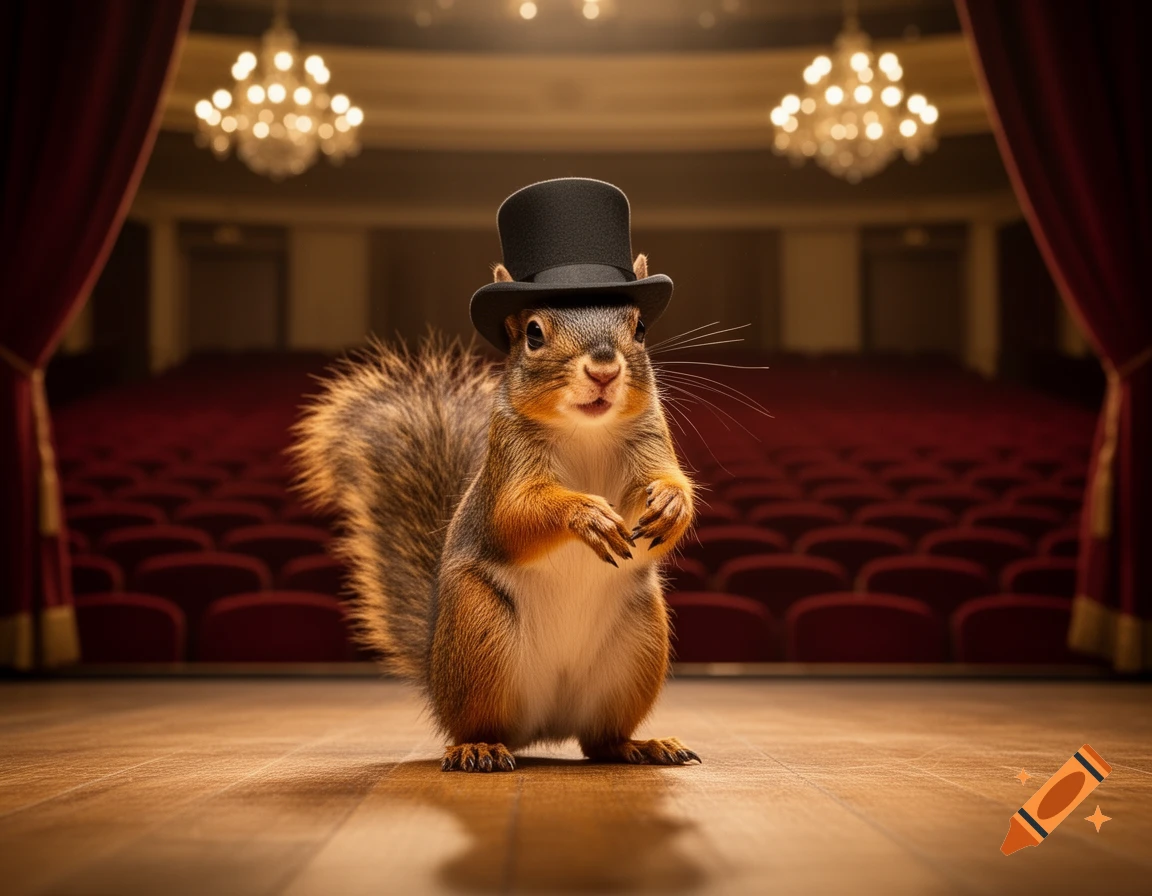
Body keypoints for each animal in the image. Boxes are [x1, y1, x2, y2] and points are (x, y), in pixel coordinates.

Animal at [292, 253, 698, 773]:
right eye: (533, 334)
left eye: (641, 327)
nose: (605, 370)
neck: (586, 429)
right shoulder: (507, 468)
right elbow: (516, 516)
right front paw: (585, 514)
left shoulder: (651, 440)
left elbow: (668, 491)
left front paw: (672, 503)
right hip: (478, 631)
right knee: (476, 725)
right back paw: (479, 747)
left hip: (639, 645)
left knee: (600, 740)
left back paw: (640, 745)